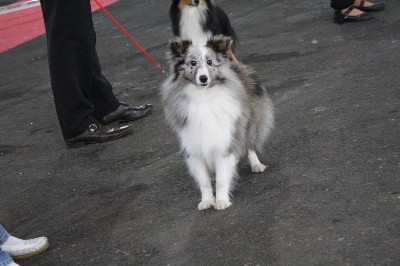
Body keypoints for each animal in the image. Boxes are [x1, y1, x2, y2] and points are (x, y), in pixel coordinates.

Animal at [161, 35, 274, 210]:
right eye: (192, 63)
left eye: (209, 62)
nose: (203, 78)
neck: (203, 96)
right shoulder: (195, 149)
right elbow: (204, 182)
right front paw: (207, 201)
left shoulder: (224, 142)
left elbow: (221, 179)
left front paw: (221, 201)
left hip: (250, 122)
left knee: (250, 145)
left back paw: (256, 165)